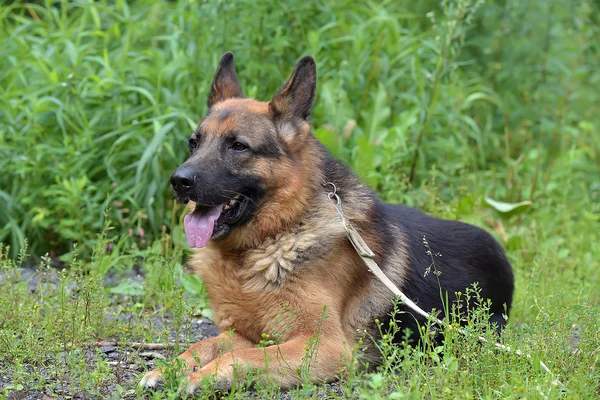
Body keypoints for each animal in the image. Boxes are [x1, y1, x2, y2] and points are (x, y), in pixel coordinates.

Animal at [139, 53, 510, 394]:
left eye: (239, 146)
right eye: (194, 143)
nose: (179, 181)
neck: (274, 237)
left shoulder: (325, 346)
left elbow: (244, 357)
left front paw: (203, 377)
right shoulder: (245, 333)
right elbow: (204, 344)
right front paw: (171, 368)